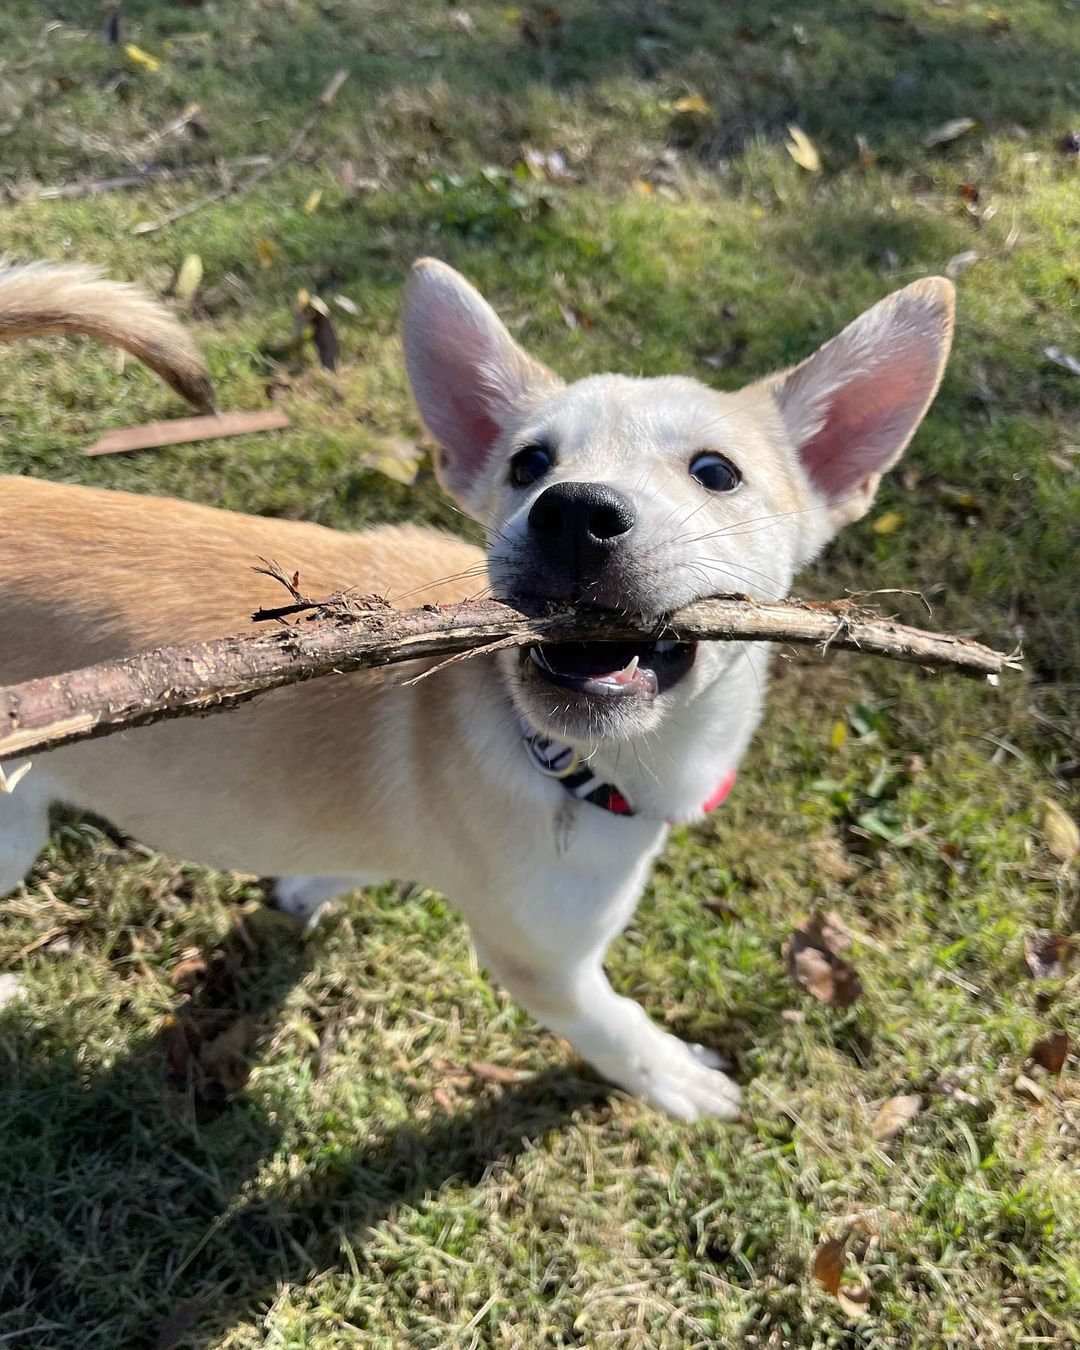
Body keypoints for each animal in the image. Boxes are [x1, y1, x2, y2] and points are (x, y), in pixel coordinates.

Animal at [0, 257, 955, 1123]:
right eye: (529, 464)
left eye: (716, 473)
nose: (573, 513)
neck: (573, 762)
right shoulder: (550, 967)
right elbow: (618, 1027)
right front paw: (675, 1079)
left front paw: (311, 883)